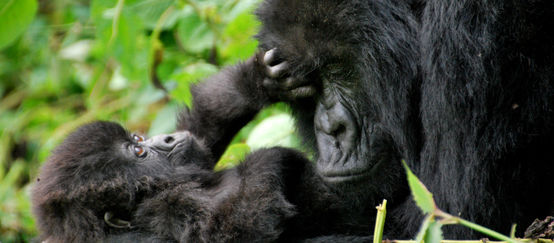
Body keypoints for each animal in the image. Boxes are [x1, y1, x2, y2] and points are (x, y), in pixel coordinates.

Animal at [33, 121, 320, 243]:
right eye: (139, 151)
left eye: (137, 139)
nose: (167, 137)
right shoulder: (169, 205)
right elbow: (244, 225)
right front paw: (275, 155)